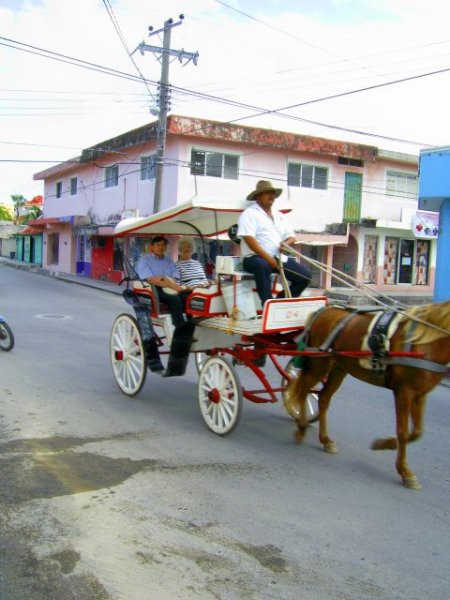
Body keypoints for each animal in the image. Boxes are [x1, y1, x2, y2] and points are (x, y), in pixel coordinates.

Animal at [286, 302, 448, 490]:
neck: (426, 342)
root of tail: (324, 310)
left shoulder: (420, 394)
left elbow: (417, 432)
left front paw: (384, 445)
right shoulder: (403, 392)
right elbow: (403, 432)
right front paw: (405, 471)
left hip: (338, 368)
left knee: (323, 398)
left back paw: (325, 439)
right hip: (320, 363)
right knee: (302, 389)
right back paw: (301, 428)